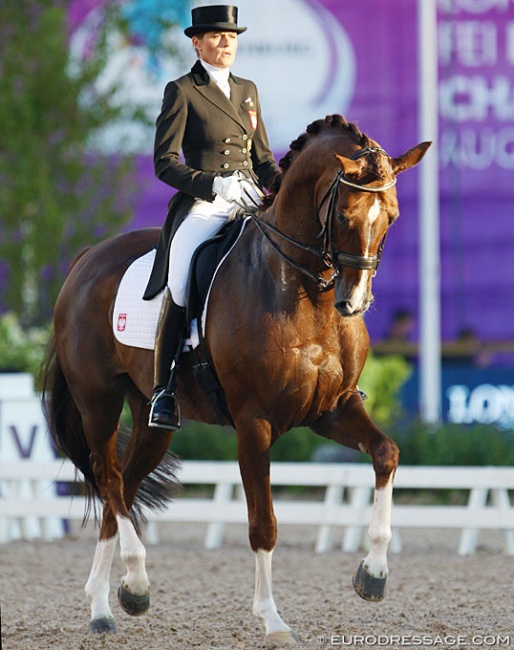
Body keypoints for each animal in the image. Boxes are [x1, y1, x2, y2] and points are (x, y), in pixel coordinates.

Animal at [41, 115, 428, 644]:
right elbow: (263, 523)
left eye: (390, 216)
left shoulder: (332, 409)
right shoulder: (254, 422)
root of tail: (86, 258)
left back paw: (106, 603)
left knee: (123, 485)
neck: (304, 291)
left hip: (151, 417)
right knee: (109, 477)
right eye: (346, 216)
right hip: (97, 401)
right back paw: (133, 584)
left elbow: (387, 453)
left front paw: (373, 574)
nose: (355, 302)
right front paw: (272, 620)